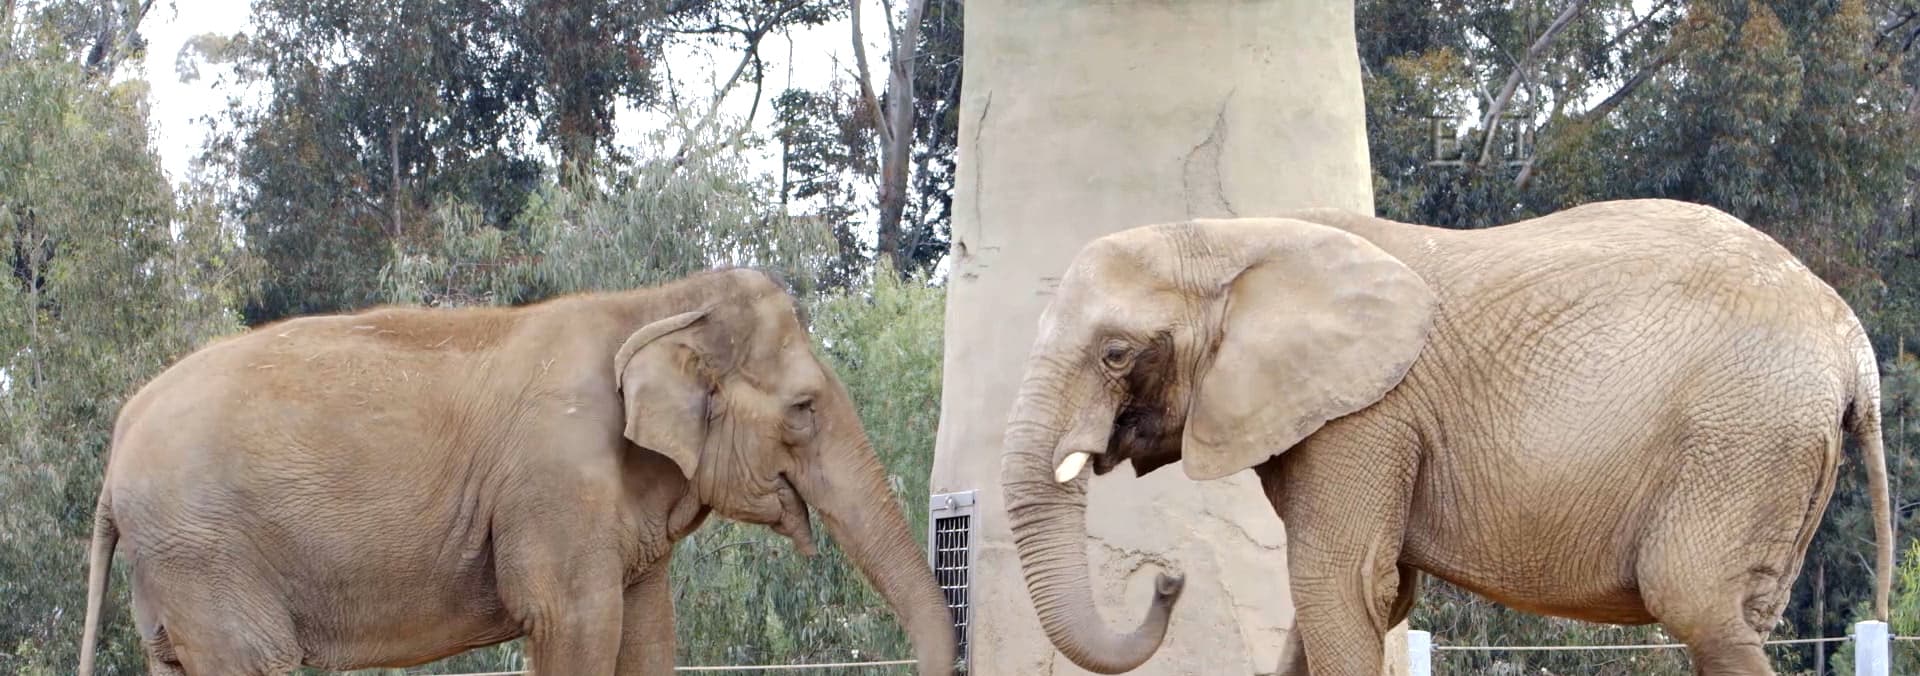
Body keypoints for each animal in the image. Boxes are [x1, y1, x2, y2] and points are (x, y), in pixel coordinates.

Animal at [75, 268, 957, 676]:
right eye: (805, 407)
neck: (654, 299)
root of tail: (118, 444)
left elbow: (646, 636)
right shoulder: (555, 485)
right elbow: (576, 624)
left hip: (177, 566)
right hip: (207, 552)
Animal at [996, 198, 1894, 675]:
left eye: (1116, 354)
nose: (1169, 579)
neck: (1237, 235)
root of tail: (1852, 344)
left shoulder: (1365, 418)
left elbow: (1342, 586)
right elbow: (1350, 601)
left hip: (1740, 435)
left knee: (1699, 605)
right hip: (1772, 447)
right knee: (1739, 615)